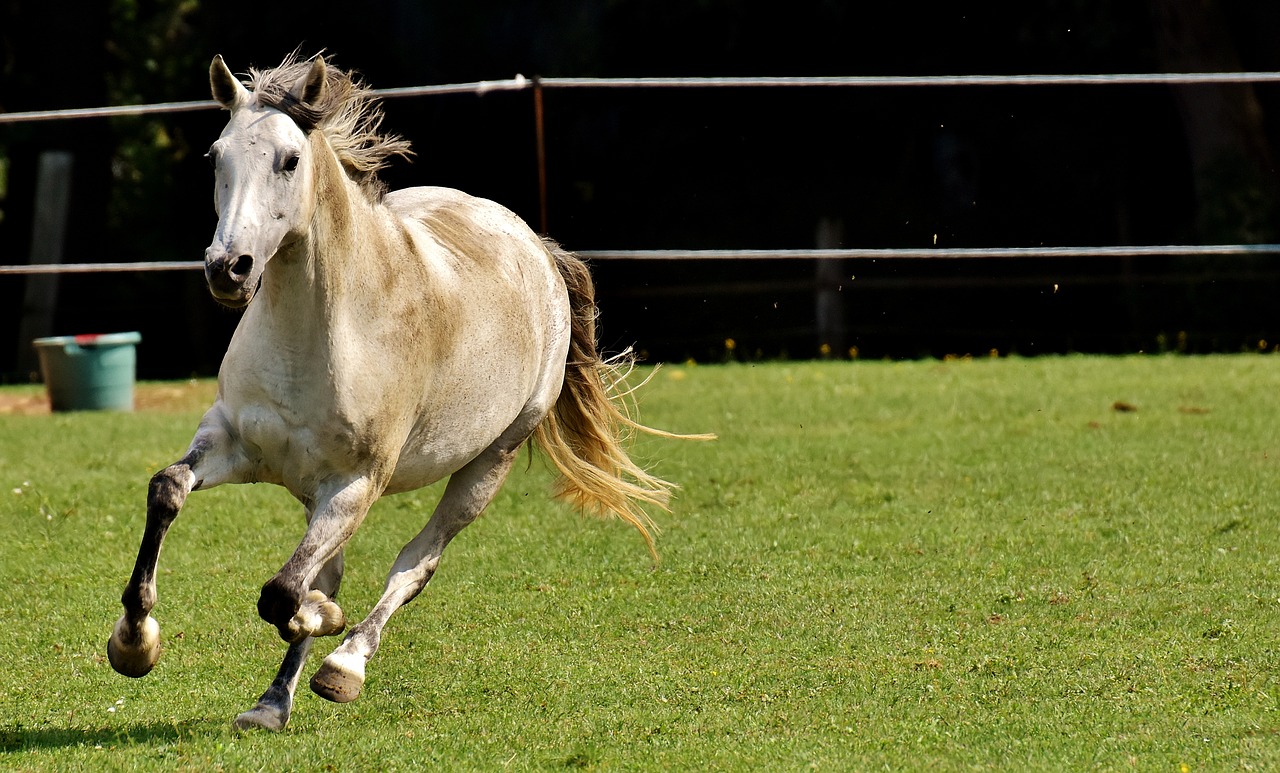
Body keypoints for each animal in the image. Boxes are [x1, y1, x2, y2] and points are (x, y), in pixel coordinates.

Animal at [104, 54, 706, 732]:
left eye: (290, 159)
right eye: (216, 156)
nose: (227, 268)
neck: (318, 333)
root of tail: (536, 248)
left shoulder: (357, 484)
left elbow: (285, 593)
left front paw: (322, 623)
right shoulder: (234, 442)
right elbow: (168, 491)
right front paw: (133, 643)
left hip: (485, 467)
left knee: (414, 564)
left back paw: (344, 665)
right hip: (315, 489)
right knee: (329, 569)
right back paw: (271, 702)